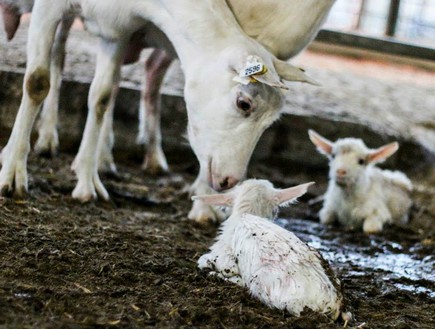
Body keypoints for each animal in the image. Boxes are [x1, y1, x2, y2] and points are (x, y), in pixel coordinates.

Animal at [0, 1, 318, 217]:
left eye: (271, 122)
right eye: (244, 103)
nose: (229, 180)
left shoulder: (116, 32)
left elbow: (102, 97)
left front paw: (87, 182)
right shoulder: (49, 7)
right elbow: (37, 82)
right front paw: (13, 174)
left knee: (61, 55)